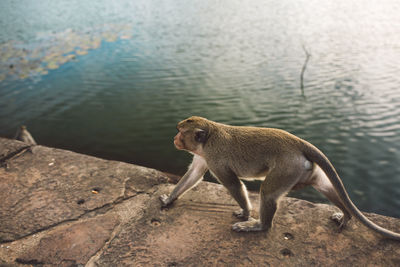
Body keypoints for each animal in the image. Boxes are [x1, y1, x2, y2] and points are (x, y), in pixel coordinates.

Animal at [160, 116, 400, 242]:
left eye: (181, 132)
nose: (174, 139)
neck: (209, 136)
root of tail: (298, 142)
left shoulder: (215, 159)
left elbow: (233, 184)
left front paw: (245, 213)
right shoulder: (204, 156)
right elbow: (193, 175)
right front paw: (170, 199)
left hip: (287, 168)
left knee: (267, 193)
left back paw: (259, 226)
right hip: (302, 169)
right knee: (323, 185)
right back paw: (347, 215)